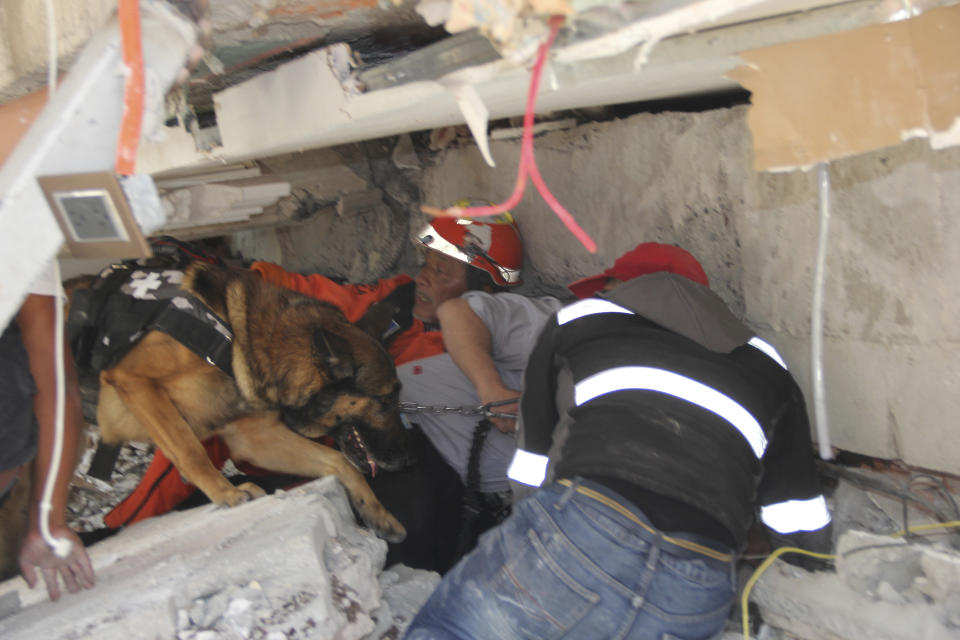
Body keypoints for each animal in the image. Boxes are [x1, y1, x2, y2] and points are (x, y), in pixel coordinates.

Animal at [88, 262, 406, 544]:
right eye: (385, 401)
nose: (408, 459)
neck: (239, 341)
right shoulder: (134, 380)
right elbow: (191, 450)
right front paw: (225, 493)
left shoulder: (256, 439)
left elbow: (339, 462)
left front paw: (378, 514)